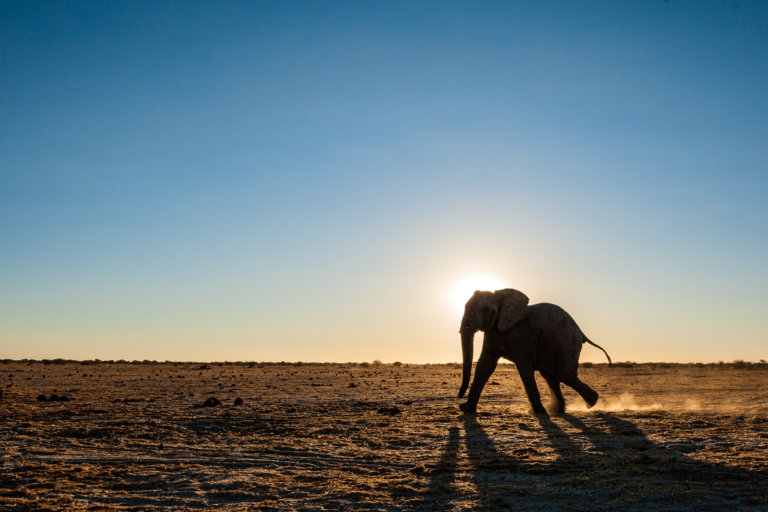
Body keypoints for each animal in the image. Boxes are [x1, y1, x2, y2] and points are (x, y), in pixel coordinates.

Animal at [456, 288, 612, 416]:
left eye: (486, 310)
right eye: (464, 307)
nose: (459, 396)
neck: (499, 295)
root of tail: (580, 331)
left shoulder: (521, 333)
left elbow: (524, 367)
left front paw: (539, 412)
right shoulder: (493, 331)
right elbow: (485, 366)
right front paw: (466, 409)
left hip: (569, 341)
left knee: (564, 373)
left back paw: (592, 402)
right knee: (550, 375)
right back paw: (558, 410)